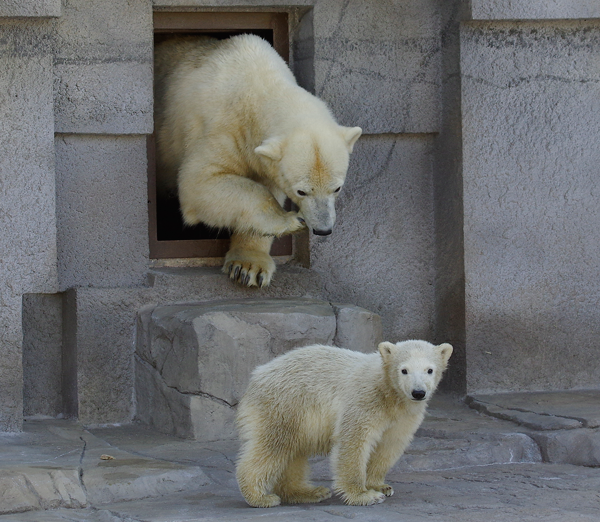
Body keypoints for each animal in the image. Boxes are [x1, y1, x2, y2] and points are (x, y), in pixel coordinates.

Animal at [155, 34, 360, 286]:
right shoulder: (223, 127)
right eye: (302, 191)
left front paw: (249, 266)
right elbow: (200, 182)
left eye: (337, 188)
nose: (323, 229)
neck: (259, 84)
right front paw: (291, 221)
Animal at [237, 338, 452, 504]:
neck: (389, 392)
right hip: (285, 405)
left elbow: (388, 445)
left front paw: (381, 486)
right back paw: (259, 497)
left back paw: (309, 492)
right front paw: (364, 495)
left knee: (293, 453)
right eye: (404, 370)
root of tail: (257, 375)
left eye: (430, 370)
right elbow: (354, 441)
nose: (418, 392)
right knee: (273, 446)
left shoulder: (403, 416)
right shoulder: (365, 400)